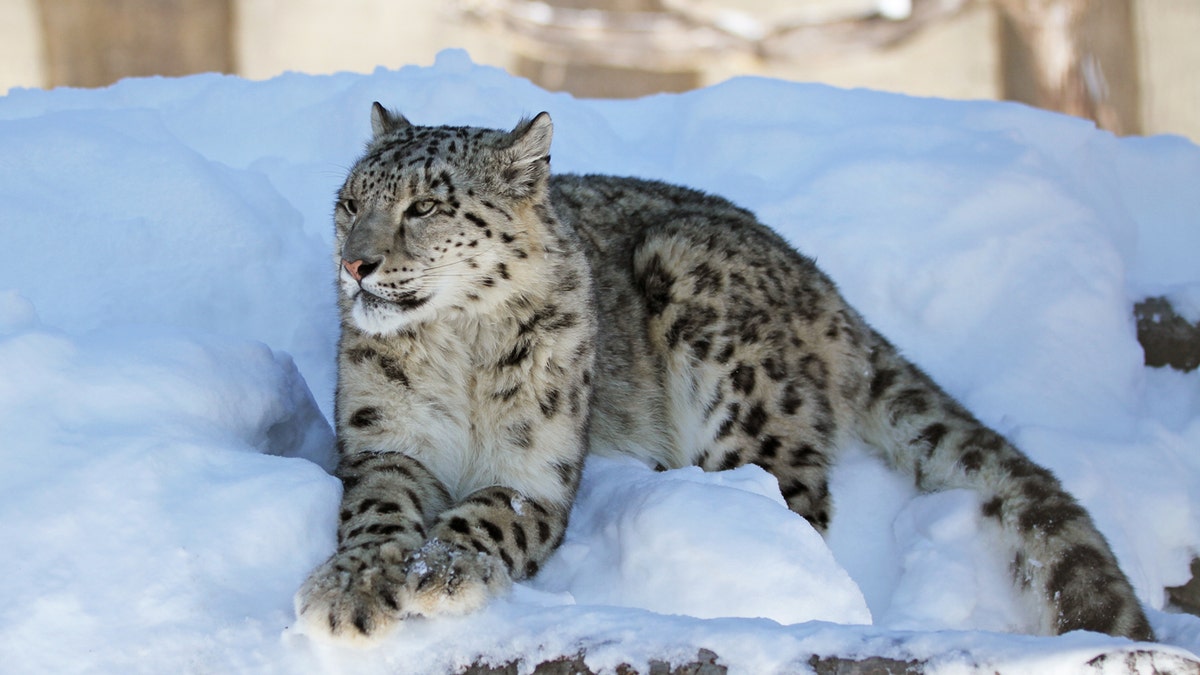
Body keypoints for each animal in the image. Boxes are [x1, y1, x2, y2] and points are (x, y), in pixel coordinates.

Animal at [292, 103, 1152, 638]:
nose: (354, 262)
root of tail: (829, 291)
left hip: (730, 363)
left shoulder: (538, 469)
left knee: (790, 507)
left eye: (426, 206)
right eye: (348, 201)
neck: (459, 354)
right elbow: (377, 510)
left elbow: (487, 516)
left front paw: (438, 571)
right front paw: (350, 589)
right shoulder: (384, 440)